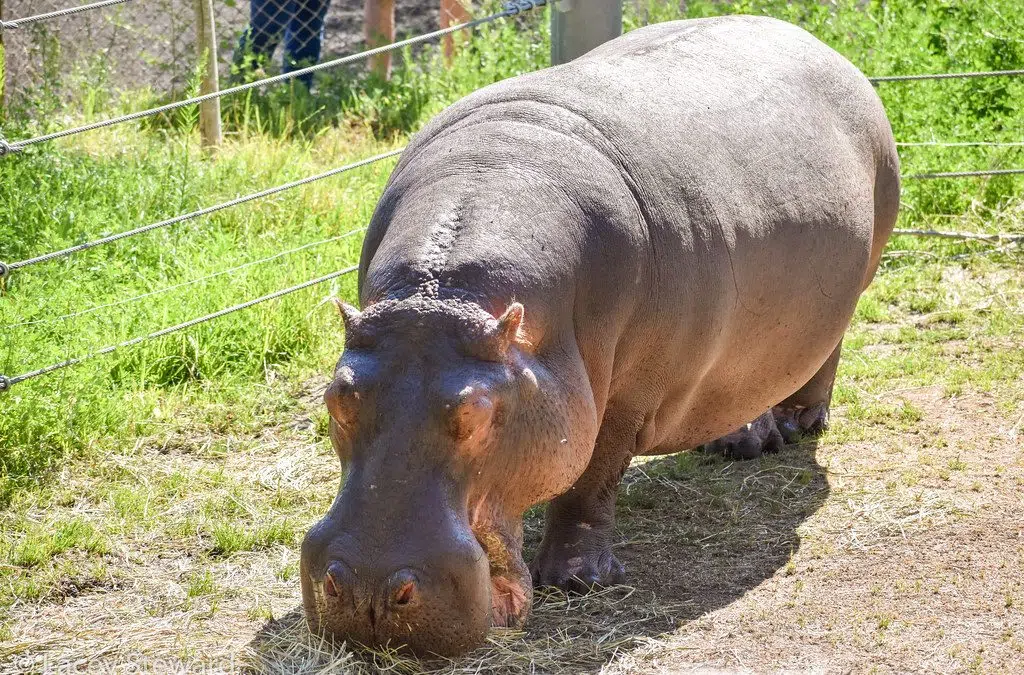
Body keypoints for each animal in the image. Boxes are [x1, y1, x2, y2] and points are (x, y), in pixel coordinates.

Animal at [300, 15, 900, 656]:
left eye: (478, 413)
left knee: (827, 354)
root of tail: (816, 41)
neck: (442, 296)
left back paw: (798, 424)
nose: (369, 588)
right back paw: (738, 442)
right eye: (337, 399)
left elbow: (592, 480)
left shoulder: (624, 399)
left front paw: (576, 581)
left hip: (857, 279)